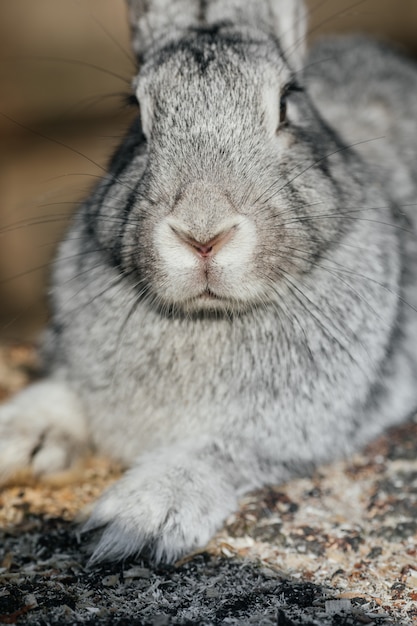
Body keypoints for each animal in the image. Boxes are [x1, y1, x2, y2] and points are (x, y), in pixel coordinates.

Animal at [0, 0, 416, 564]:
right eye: (136, 112)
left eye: (287, 104)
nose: (202, 233)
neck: (208, 313)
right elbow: (62, 395)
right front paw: (16, 437)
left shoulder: (289, 431)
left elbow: (218, 452)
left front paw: (138, 519)